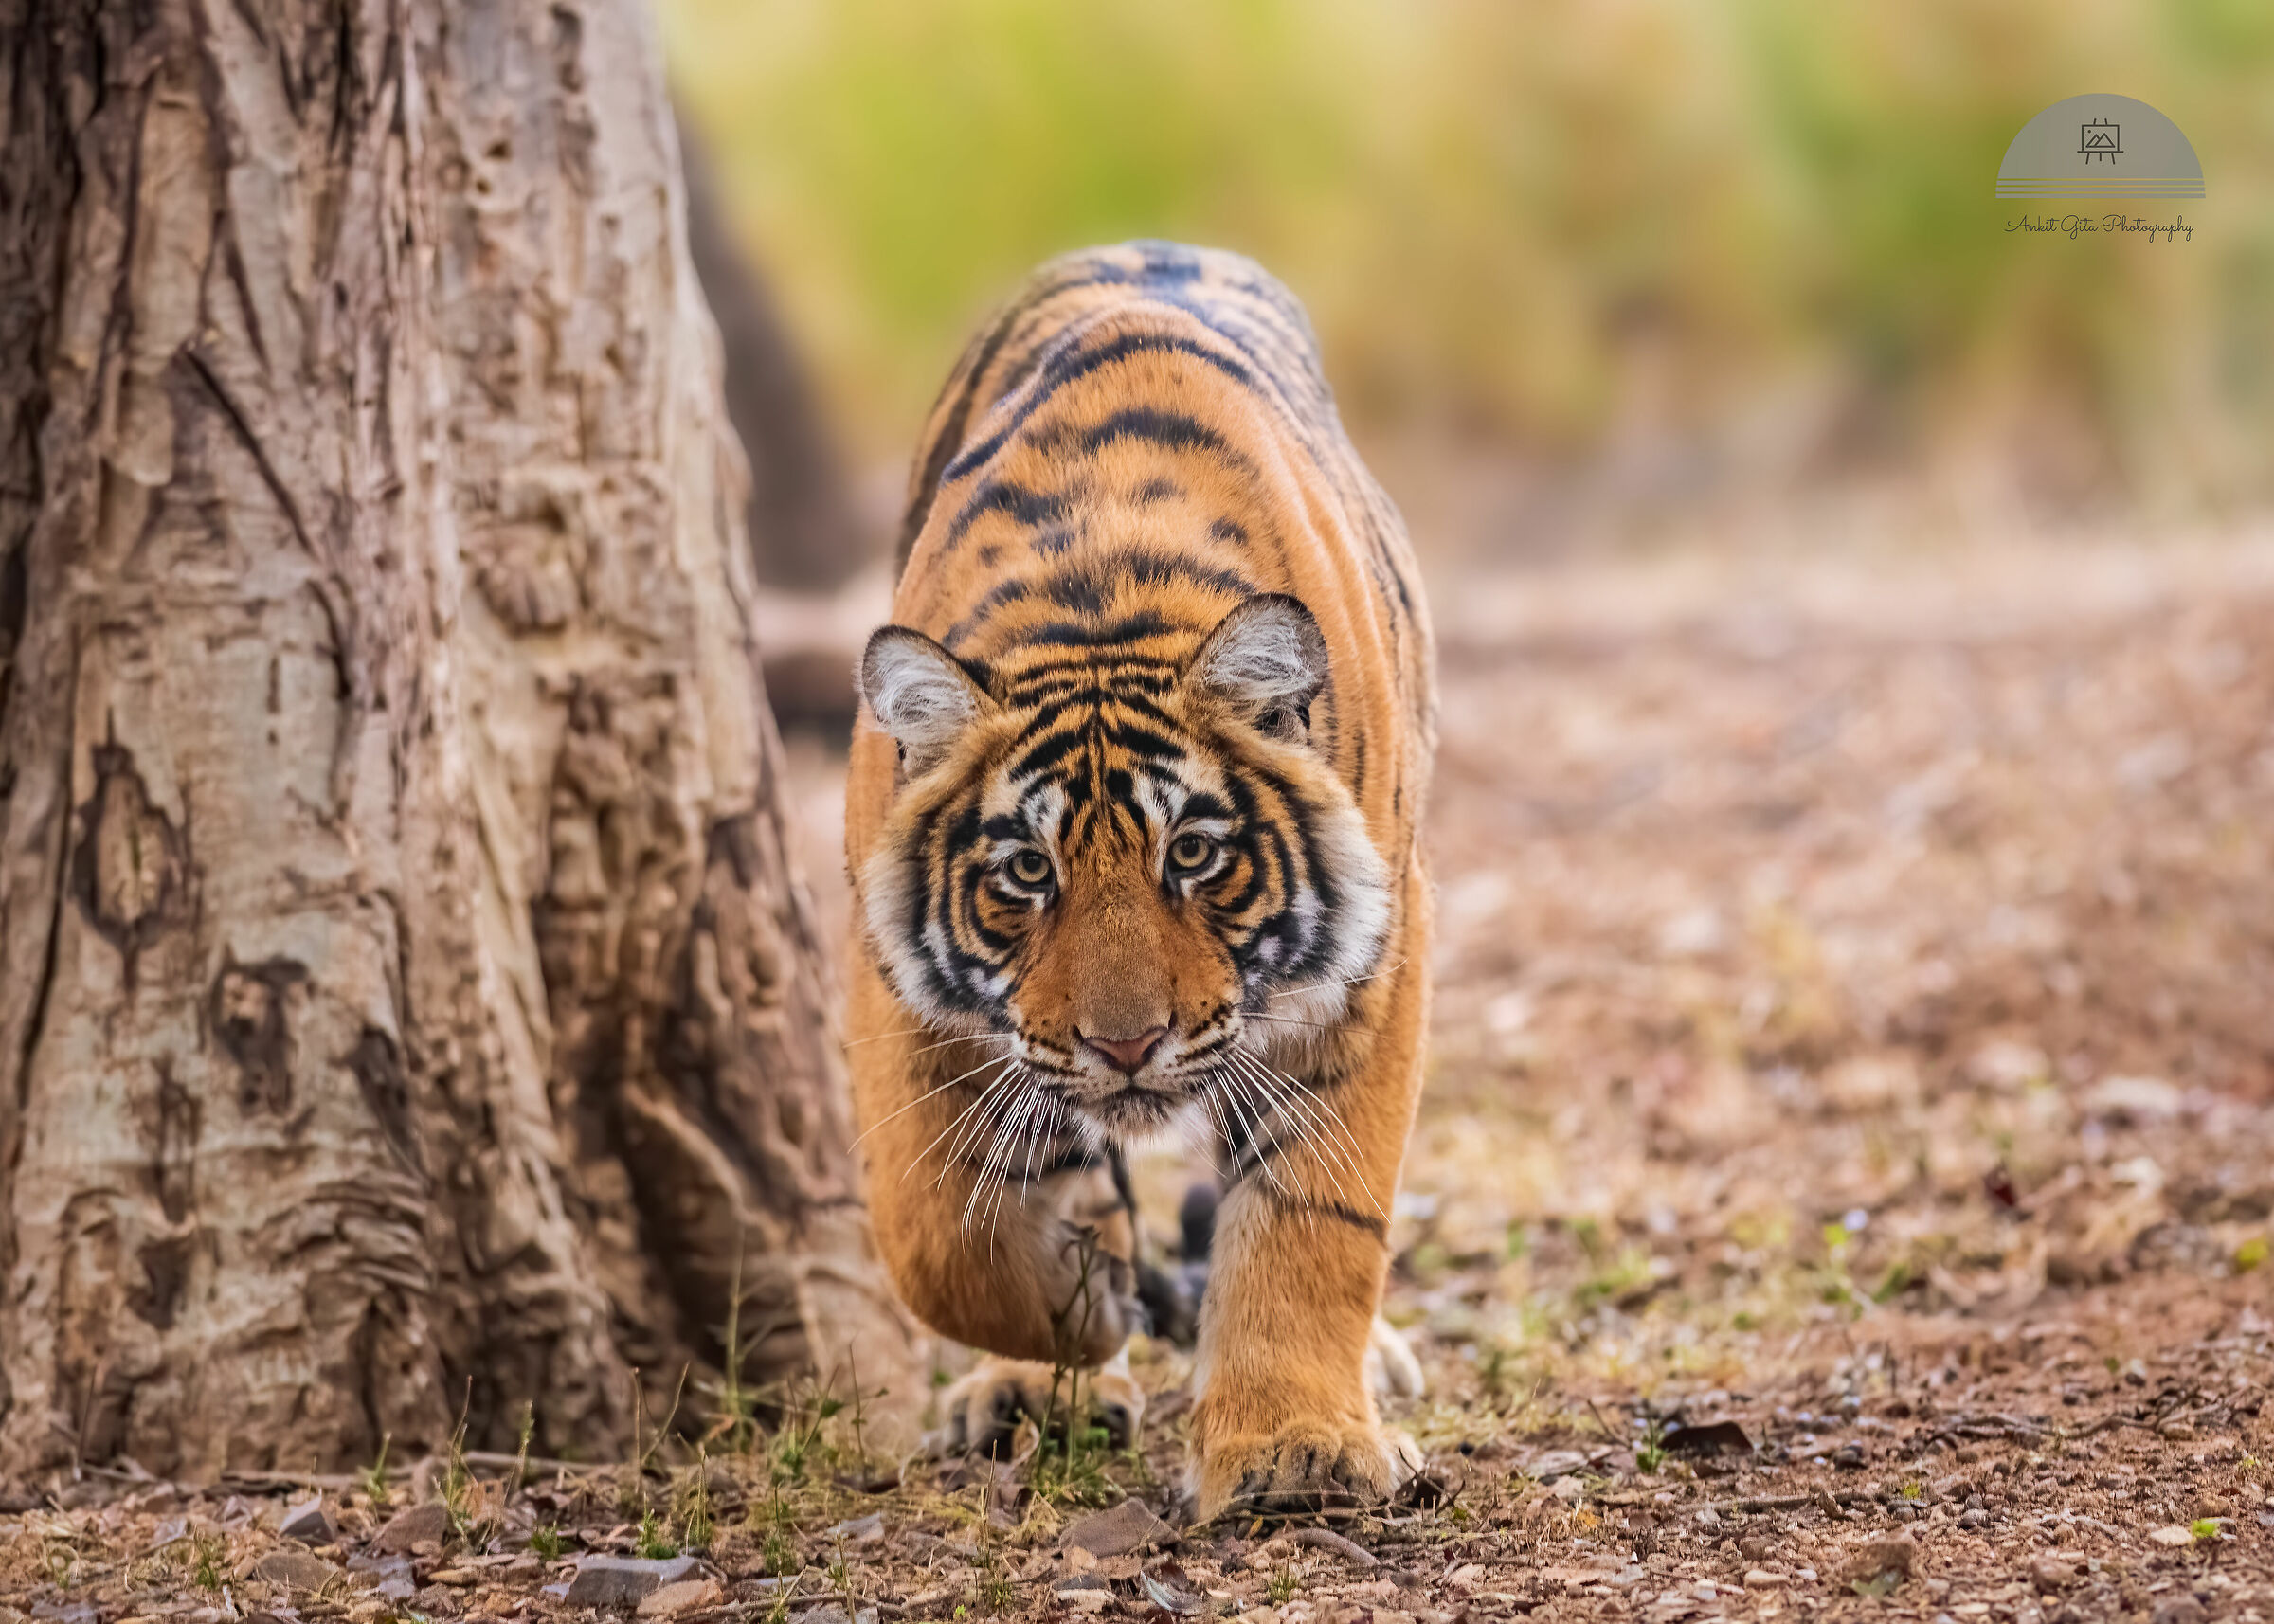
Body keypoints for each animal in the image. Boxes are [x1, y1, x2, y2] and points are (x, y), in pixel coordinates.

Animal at [844, 240, 1434, 1517]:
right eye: (1027, 870)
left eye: (1193, 855)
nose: (1126, 1046)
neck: (1099, 598)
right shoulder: (893, 984)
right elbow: (937, 1233)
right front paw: (1076, 1301)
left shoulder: (1374, 966)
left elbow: (1317, 1216)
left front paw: (1294, 1447)